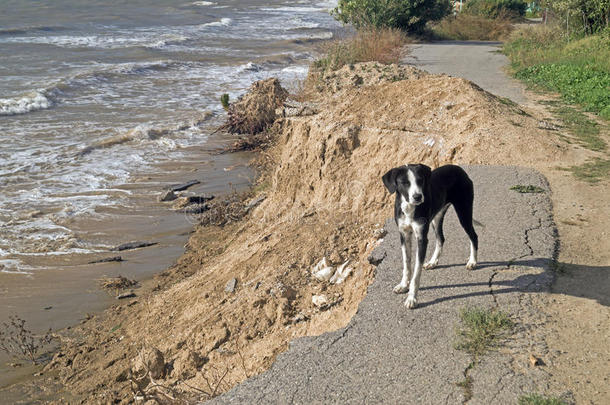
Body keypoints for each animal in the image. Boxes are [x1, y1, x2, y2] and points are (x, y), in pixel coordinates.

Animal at [380, 163, 476, 308]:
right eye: (404, 182)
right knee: (441, 238)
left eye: (420, 180)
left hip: (464, 213)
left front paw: (412, 298)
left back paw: (472, 261)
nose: (417, 197)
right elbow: (406, 264)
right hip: (437, 217)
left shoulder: (421, 239)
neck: (409, 208)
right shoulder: (404, 235)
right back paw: (432, 262)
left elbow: (416, 272)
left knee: (473, 236)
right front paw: (403, 285)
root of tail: (459, 168)